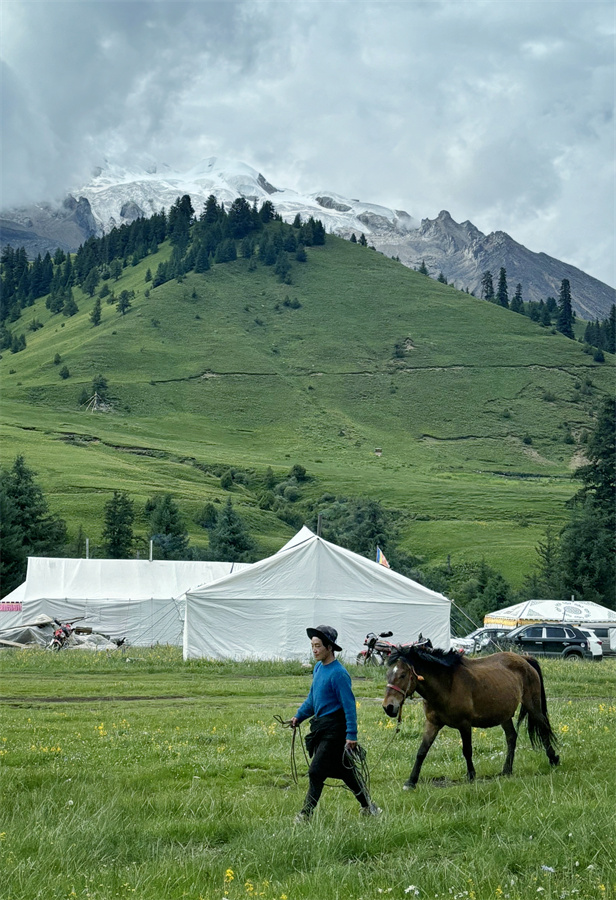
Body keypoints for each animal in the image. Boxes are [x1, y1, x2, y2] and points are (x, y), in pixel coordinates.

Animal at [382, 644, 559, 789]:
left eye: (403, 675)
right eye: (388, 674)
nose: (388, 707)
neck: (446, 685)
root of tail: (524, 659)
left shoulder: (464, 724)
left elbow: (467, 750)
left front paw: (471, 776)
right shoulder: (432, 723)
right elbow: (422, 751)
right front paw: (411, 782)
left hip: (532, 706)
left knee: (543, 728)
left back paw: (553, 759)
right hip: (504, 715)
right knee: (511, 737)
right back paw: (507, 770)